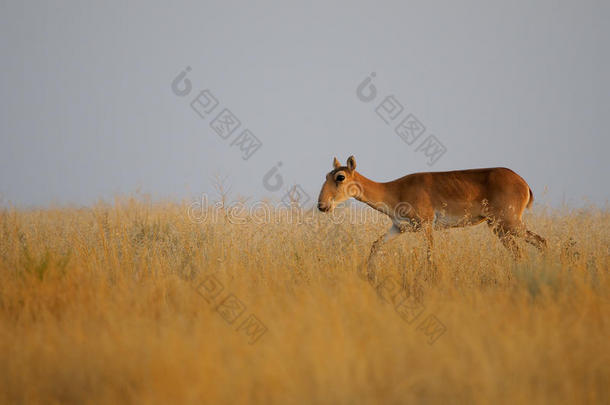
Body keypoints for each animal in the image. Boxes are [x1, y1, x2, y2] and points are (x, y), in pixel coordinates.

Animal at [316, 156, 544, 276]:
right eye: (326, 175)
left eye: (340, 176)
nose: (322, 205)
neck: (394, 190)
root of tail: (524, 183)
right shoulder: (399, 228)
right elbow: (375, 245)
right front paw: (369, 274)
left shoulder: (426, 225)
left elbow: (429, 256)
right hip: (498, 227)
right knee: (521, 251)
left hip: (509, 223)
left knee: (541, 241)